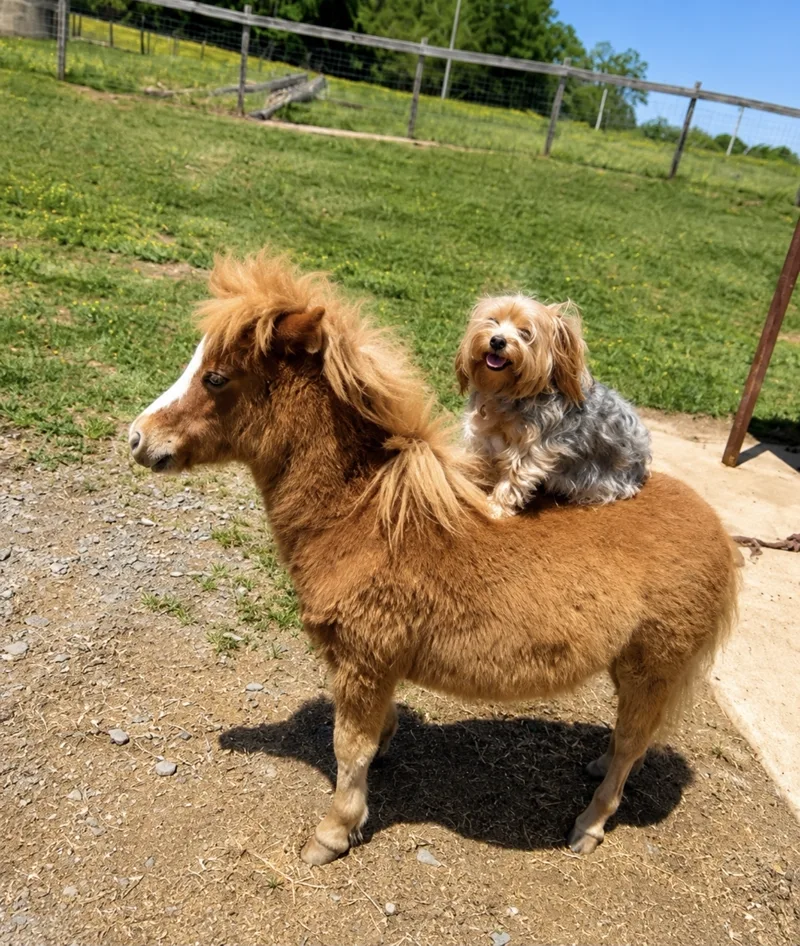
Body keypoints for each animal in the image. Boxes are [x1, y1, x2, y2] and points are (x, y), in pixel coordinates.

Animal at [129, 252, 739, 864]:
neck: (367, 514)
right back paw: (596, 761)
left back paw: (588, 825)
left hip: (653, 668)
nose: (137, 438)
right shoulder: (374, 663)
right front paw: (383, 755)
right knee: (628, 741)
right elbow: (374, 733)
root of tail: (718, 529)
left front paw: (334, 832)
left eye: (216, 377)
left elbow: (348, 746)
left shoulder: (363, 659)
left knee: (633, 744)